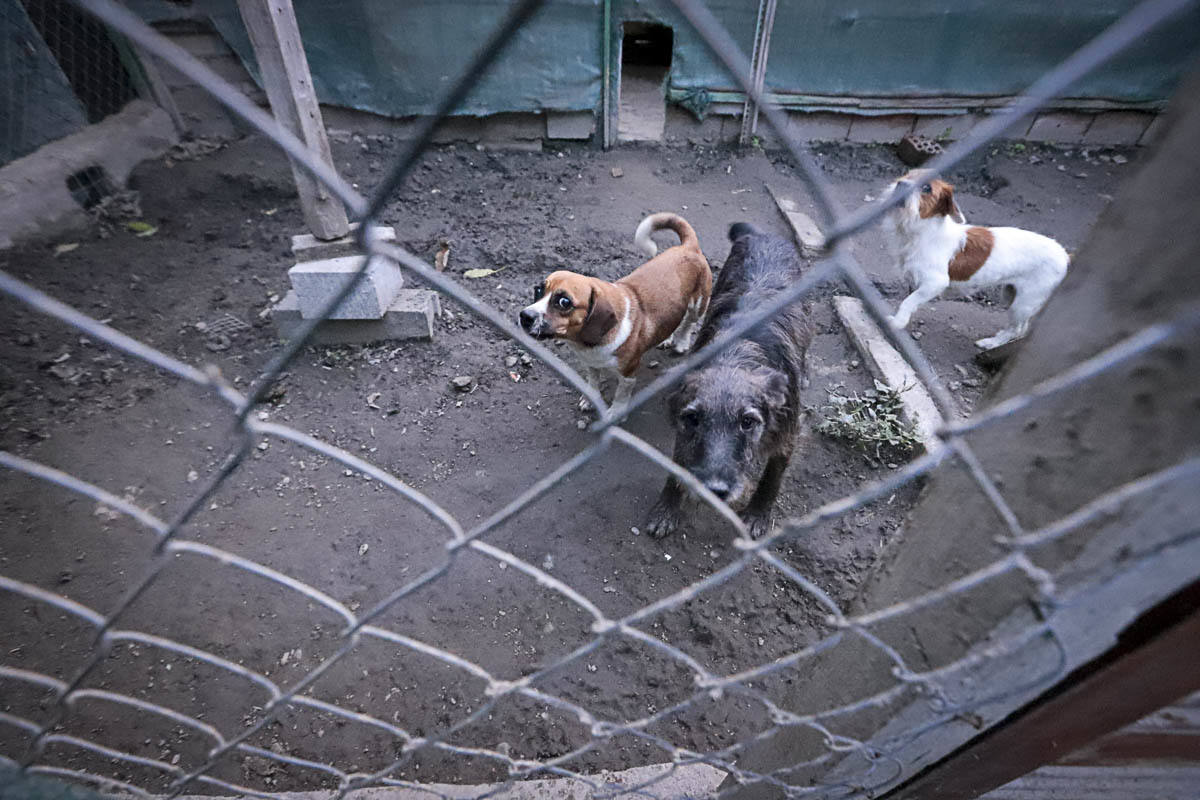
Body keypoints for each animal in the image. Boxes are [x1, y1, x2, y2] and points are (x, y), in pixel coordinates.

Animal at [518, 212, 705, 412]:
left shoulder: (628, 374)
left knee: (688, 322)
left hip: (698, 306)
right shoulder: (591, 365)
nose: (524, 316)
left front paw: (615, 413)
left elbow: (621, 397)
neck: (586, 344)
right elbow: (593, 383)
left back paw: (681, 342)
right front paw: (590, 399)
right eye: (538, 290)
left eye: (564, 302)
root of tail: (689, 246)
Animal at [648, 221, 816, 542]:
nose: (715, 491)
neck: (735, 355)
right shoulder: (684, 433)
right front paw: (666, 509)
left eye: (748, 422)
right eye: (693, 419)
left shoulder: (788, 435)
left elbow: (772, 479)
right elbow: (677, 465)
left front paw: (758, 513)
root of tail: (763, 234)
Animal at [883, 169, 1070, 347]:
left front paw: (897, 323)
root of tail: (1065, 256)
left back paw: (990, 343)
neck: (920, 231)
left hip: (1024, 303)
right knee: (1020, 327)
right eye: (907, 175)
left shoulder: (935, 283)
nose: (900, 184)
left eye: (926, 188)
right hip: (1011, 295)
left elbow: (908, 301)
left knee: (1016, 328)